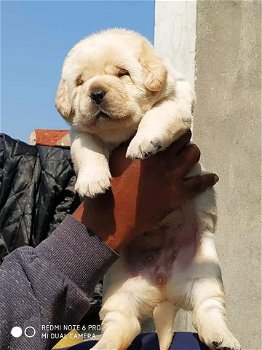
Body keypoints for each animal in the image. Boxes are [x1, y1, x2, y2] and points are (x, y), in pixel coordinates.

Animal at [56, 29, 241, 350]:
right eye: (80, 82)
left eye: (122, 73)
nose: (95, 92)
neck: (120, 132)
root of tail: (164, 290)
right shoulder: (79, 132)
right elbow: (88, 149)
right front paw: (92, 181)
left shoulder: (176, 99)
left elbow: (157, 115)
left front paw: (143, 143)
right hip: (117, 288)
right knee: (122, 323)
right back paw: (102, 345)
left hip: (207, 274)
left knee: (209, 309)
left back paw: (222, 337)